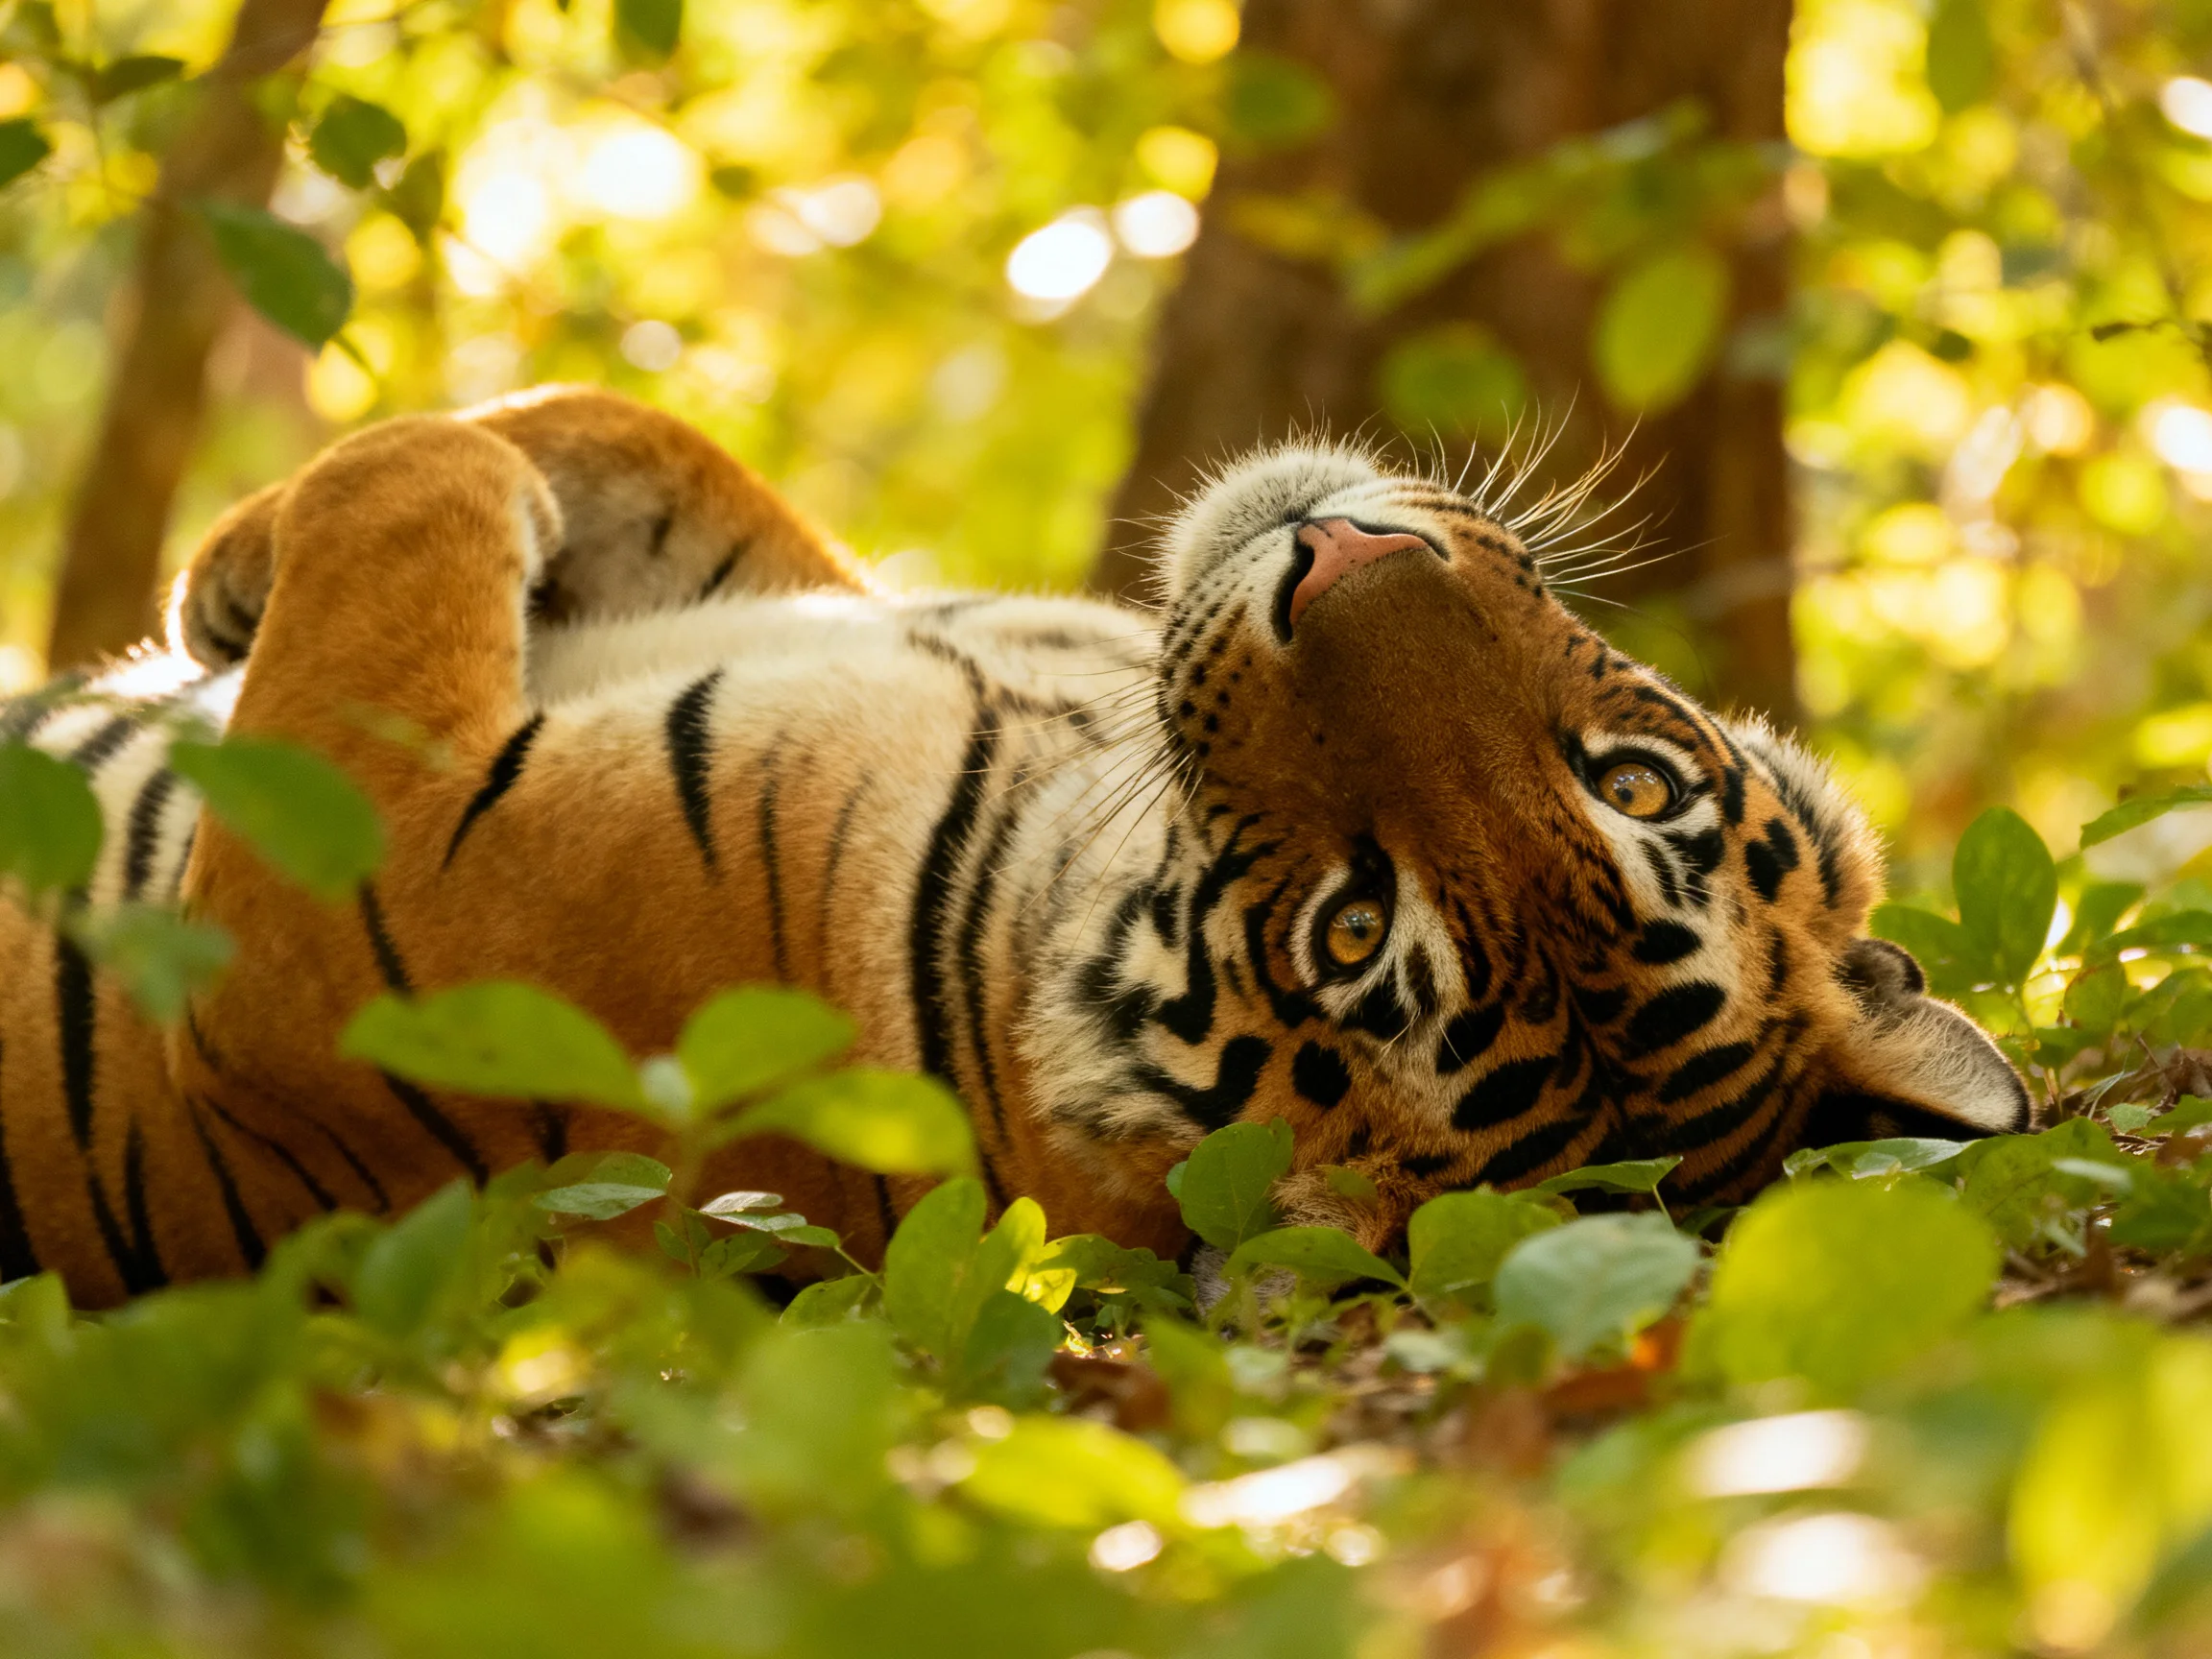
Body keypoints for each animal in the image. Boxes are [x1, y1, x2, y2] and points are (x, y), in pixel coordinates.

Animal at [0, 388, 2029, 1307]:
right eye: (1643, 785)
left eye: (1350, 938)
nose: (1332, 554)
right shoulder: (827, 602)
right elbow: (619, 446)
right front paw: (231, 564)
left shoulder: (340, 890)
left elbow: (415, 492)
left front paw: (229, 580)